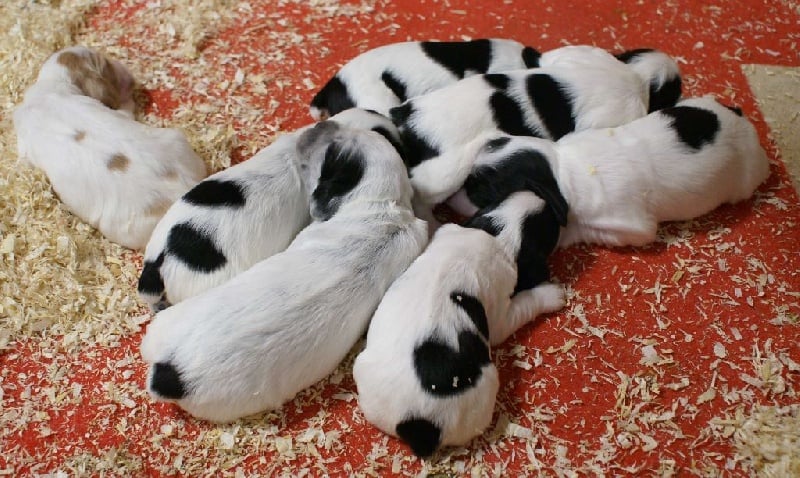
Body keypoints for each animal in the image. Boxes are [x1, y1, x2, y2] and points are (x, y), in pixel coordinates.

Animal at [354, 191, 564, 460]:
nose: (543, 197)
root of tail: (419, 428)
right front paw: (551, 295)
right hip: (486, 387)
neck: (496, 230)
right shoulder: (500, 313)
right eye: (551, 227)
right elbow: (524, 305)